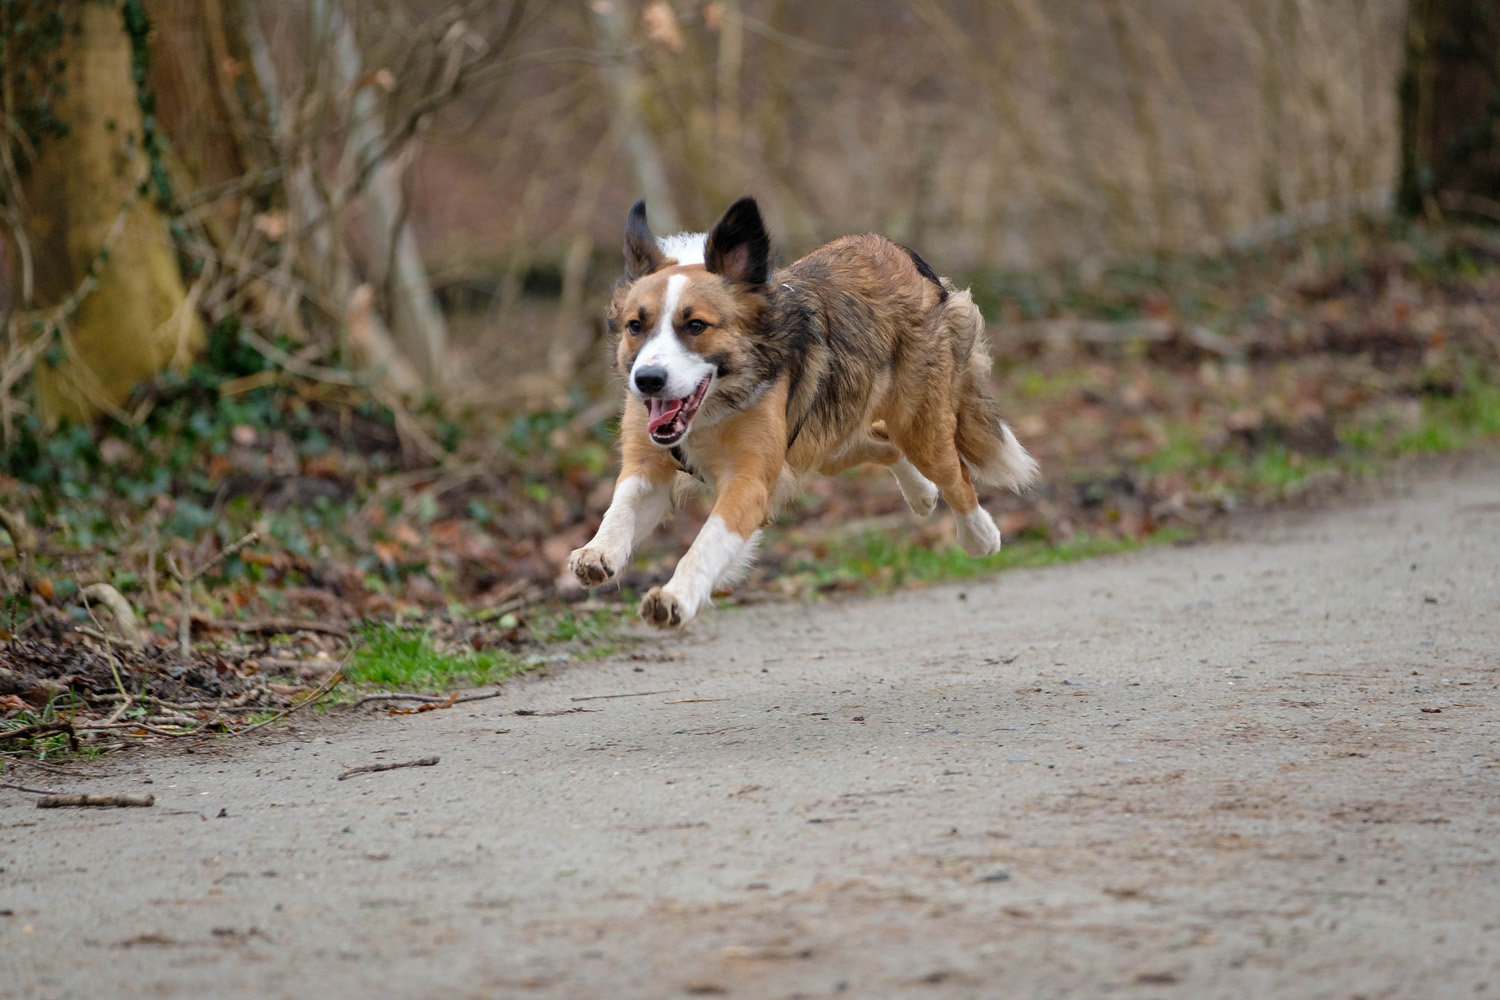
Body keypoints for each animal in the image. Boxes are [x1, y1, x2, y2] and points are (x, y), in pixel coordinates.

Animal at [567, 197, 1038, 629]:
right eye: (635, 326)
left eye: (696, 326)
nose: (647, 380)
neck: (716, 405)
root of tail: (900, 253)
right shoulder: (649, 464)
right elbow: (622, 506)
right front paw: (598, 551)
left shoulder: (750, 482)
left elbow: (705, 545)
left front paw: (676, 597)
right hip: (825, 441)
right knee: (885, 444)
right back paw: (921, 493)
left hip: (917, 426)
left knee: (955, 474)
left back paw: (980, 536)